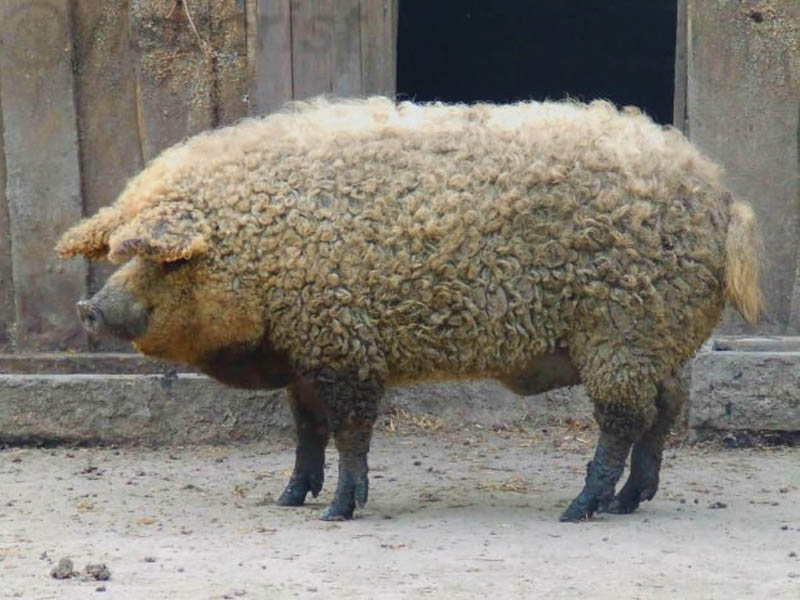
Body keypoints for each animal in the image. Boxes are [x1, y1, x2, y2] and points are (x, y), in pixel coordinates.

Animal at [57, 96, 761, 521]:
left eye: (166, 260)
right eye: (121, 256)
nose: (90, 307)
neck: (262, 256)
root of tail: (722, 198)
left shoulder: (344, 345)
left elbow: (350, 431)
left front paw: (338, 512)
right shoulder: (306, 354)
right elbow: (306, 430)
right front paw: (288, 499)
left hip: (622, 330)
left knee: (624, 418)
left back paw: (578, 507)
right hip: (656, 340)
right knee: (664, 410)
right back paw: (626, 503)